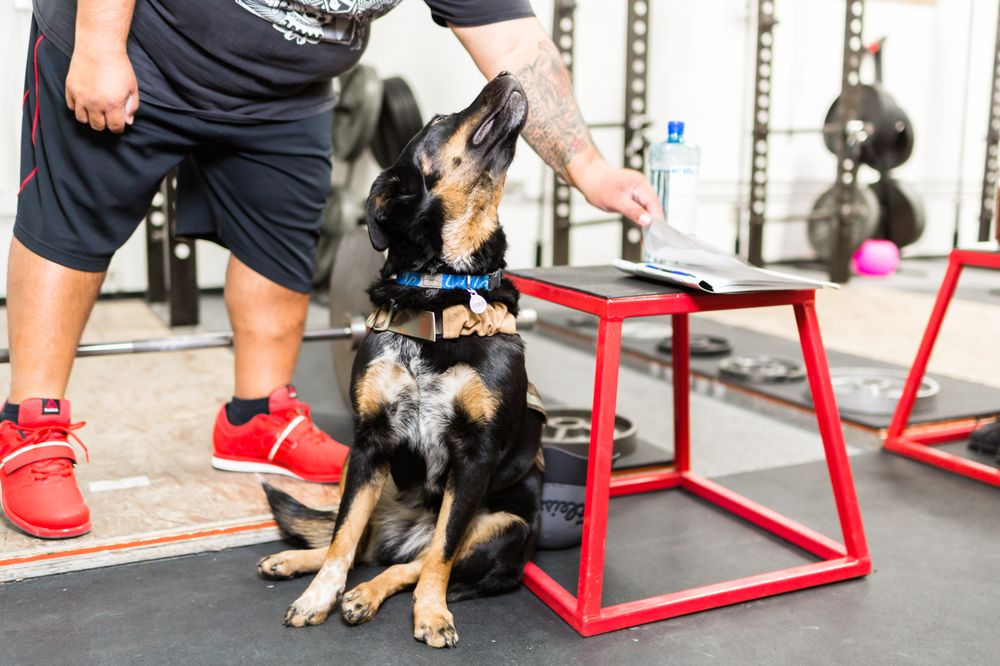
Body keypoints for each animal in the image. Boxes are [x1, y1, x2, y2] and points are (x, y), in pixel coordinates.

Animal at [256, 72, 544, 648]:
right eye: (437, 120)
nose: (507, 72)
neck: (441, 293)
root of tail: (404, 526)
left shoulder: (474, 459)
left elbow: (440, 555)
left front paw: (430, 612)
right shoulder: (369, 442)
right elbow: (343, 538)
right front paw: (317, 596)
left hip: (505, 525)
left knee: (412, 561)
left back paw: (369, 595)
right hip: (355, 469)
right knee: (357, 540)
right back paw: (301, 562)